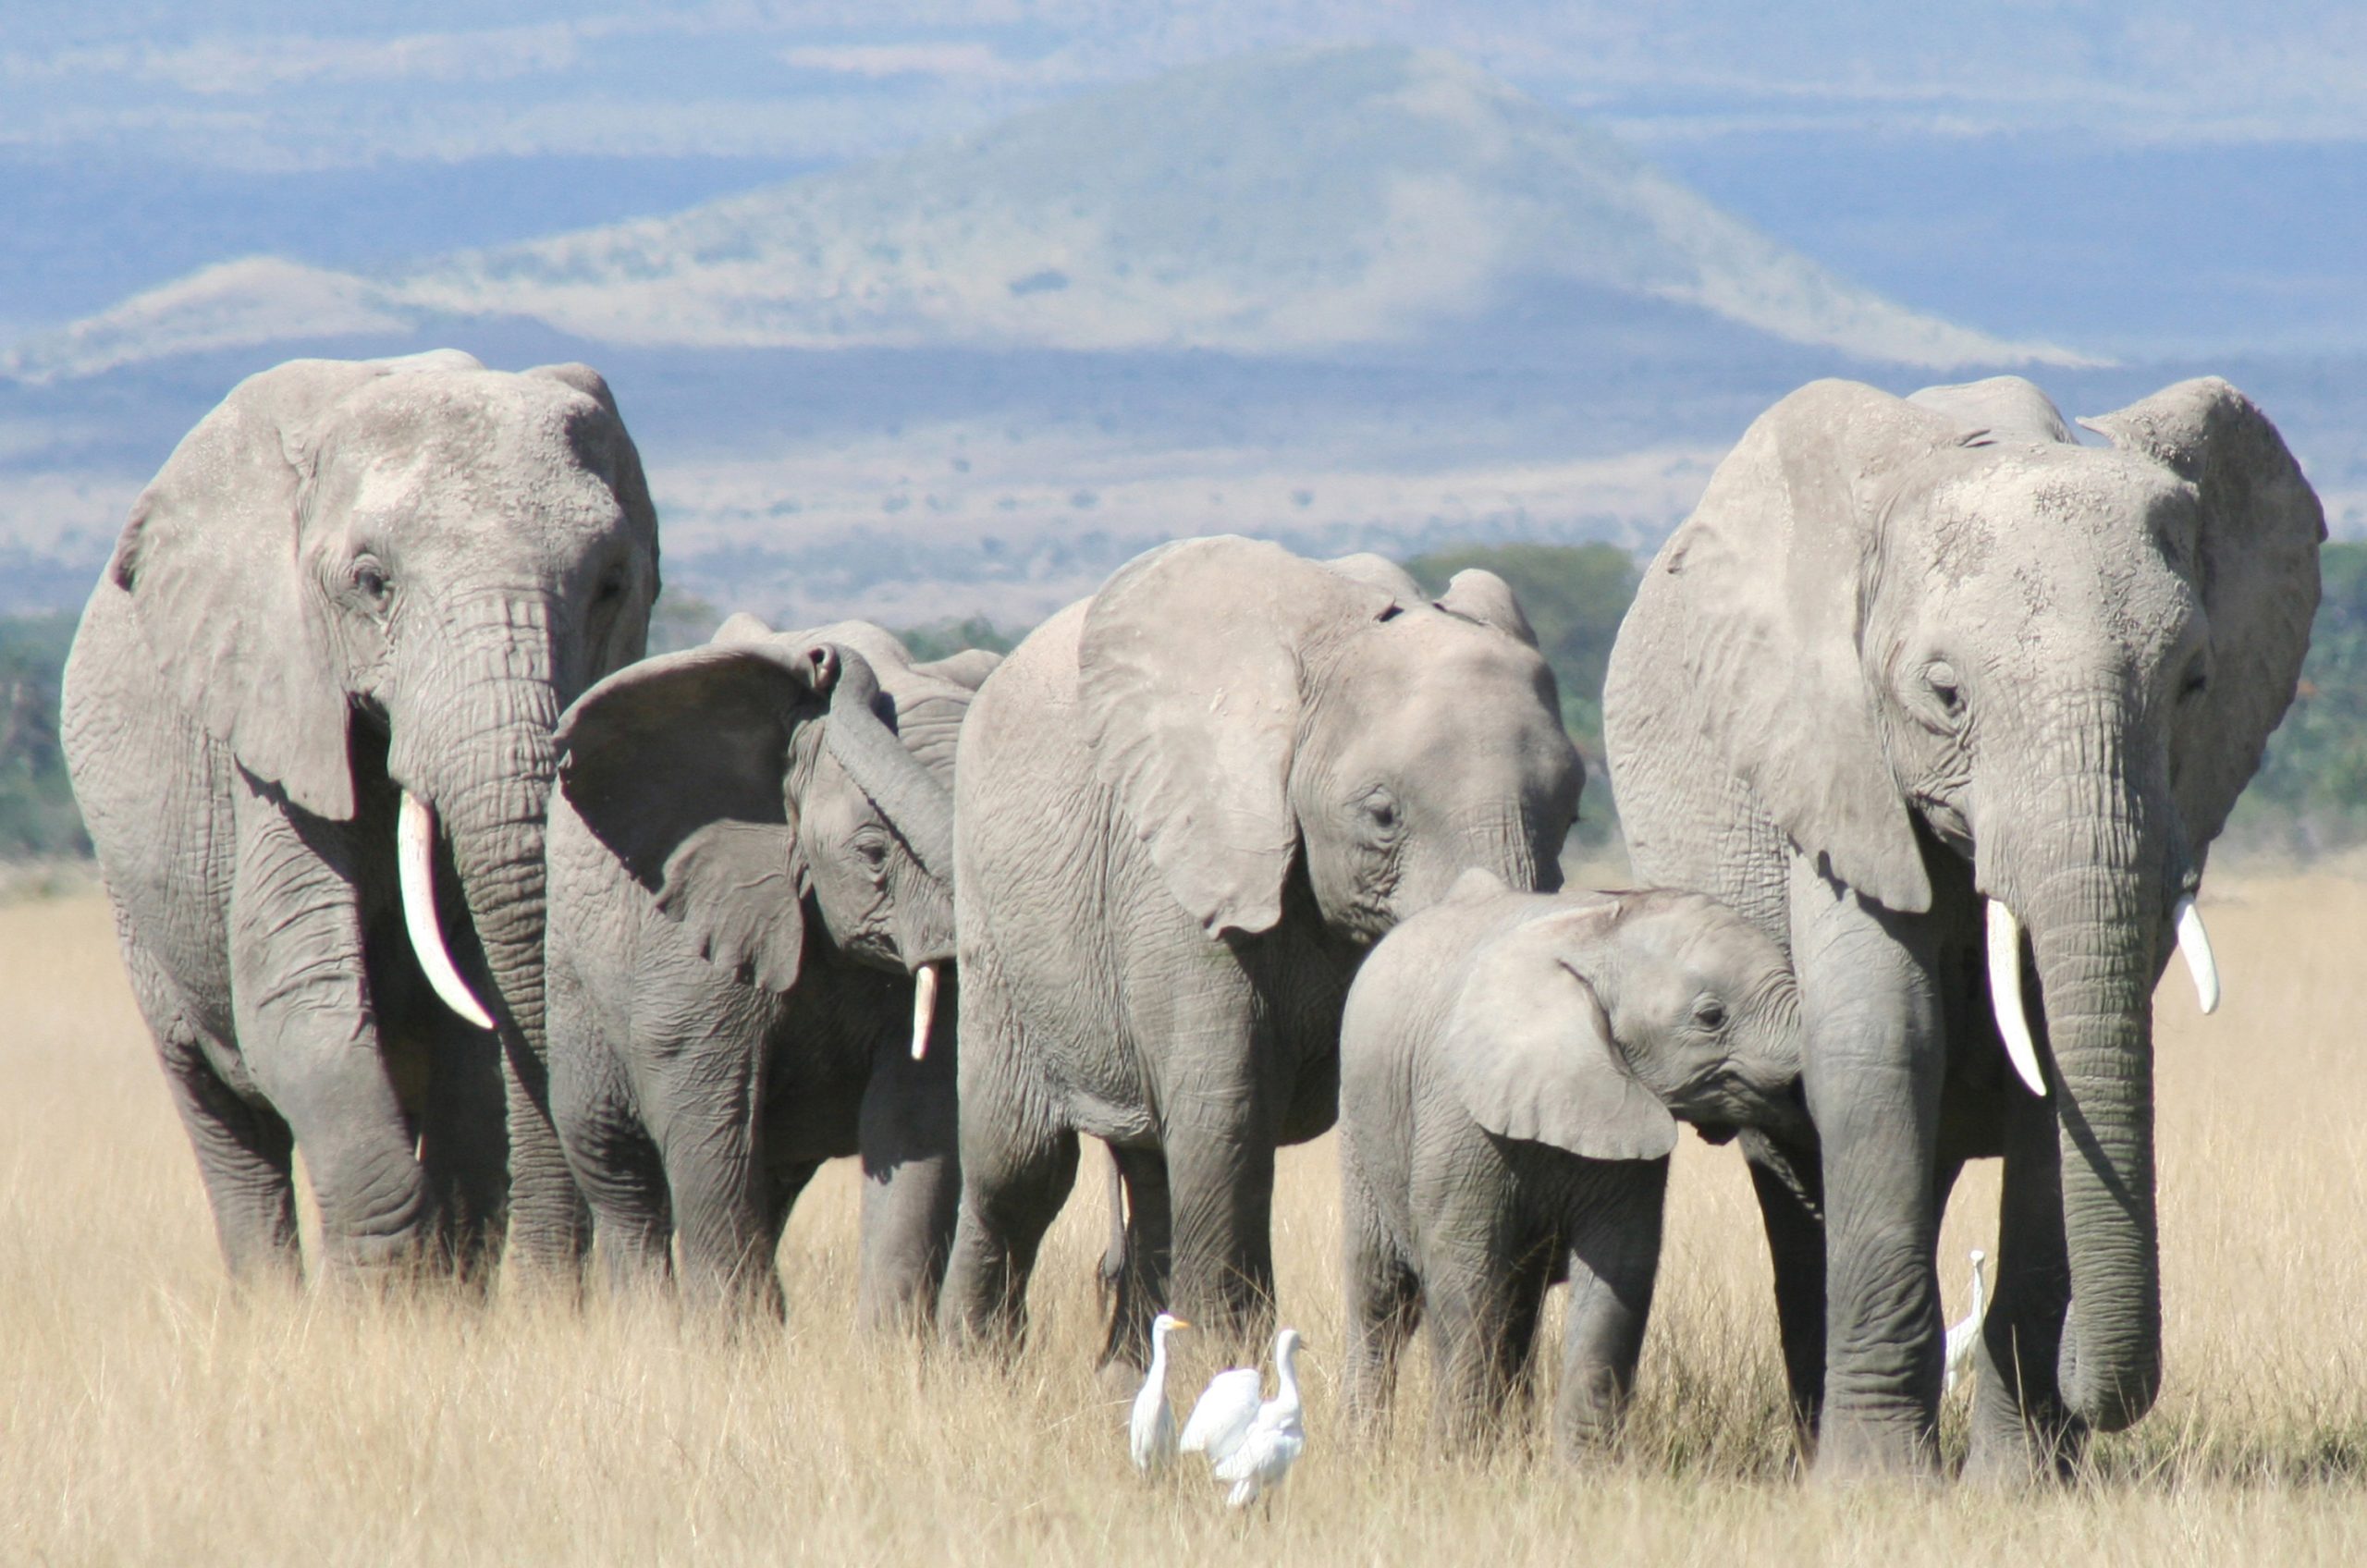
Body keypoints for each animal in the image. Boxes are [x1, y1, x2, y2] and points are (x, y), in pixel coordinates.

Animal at [67, 350, 657, 1288]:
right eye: (372, 584)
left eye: (611, 586)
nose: (554, 1293)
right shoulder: (274, 712)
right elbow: (295, 994)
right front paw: (381, 1295)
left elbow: (473, 1038)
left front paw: (440, 1291)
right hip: (135, 903)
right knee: (224, 1117)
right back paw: (275, 1302)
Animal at [544, 620, 989, 1335]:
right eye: (873, 854)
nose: (824, 658)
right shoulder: (699, 918)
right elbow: (706, 1103)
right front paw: (732, 1346)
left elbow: (918, 1110)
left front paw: (888, 1352)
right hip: (572, 968)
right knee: (615, 1164)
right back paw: (649, 1331)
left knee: (774, 1179)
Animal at [932, 534, 1581, 1373]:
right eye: (1382, 815)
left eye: (1572, 813)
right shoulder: (1185, 870)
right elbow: (1227, 1115)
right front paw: (1225, 1369)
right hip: (995, 909)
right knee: (1020, 1165)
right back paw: (971, 1371)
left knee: (1149, 1165)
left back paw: (1124, 1375)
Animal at [1344, 871, 1818, 1459]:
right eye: (1711, 1017)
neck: (1596, 936)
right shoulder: (1459, 1117)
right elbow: (1464, 1270)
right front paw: (1457, 1463)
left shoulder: (1627, 1121)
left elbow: (1621, 1270)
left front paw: (1584, 1470)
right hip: (1362, 1127)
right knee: (1382, 1295)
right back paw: (1364, 1449)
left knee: (1517, 1306)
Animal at [1600, 374, 2319, 1477]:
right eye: (1944, 695)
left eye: (2195, 685)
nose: (2091, 1380)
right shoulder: (1833, 755)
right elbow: (1881, 1043)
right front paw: (1876, 1487)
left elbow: (2054, 1080)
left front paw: (2021, 1486)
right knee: (1793, 1169)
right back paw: (1823, 1438)